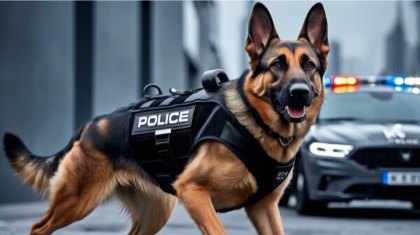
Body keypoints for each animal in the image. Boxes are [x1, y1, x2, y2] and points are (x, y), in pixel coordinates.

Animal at [2, 2, 328, 235]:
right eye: (277, 65)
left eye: (309, 65)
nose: (300, 93)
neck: (257, 124)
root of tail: (89, 126)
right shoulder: (194, 191)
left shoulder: (264, 210)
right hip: (77, 201)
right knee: (38, 227)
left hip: (154, 214)